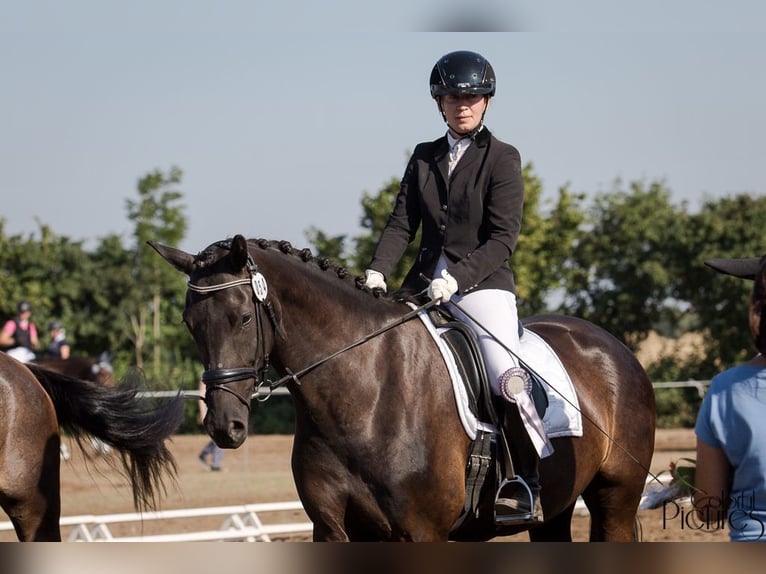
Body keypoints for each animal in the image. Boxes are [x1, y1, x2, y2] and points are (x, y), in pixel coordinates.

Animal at [153, 236, 656, 544]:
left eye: (241, 317)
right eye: (189, 323)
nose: (225, 426)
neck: (364, 395)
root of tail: (615, 348)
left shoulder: (423, 532)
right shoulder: (332, 530)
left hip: (615, 498)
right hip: (556, 508)